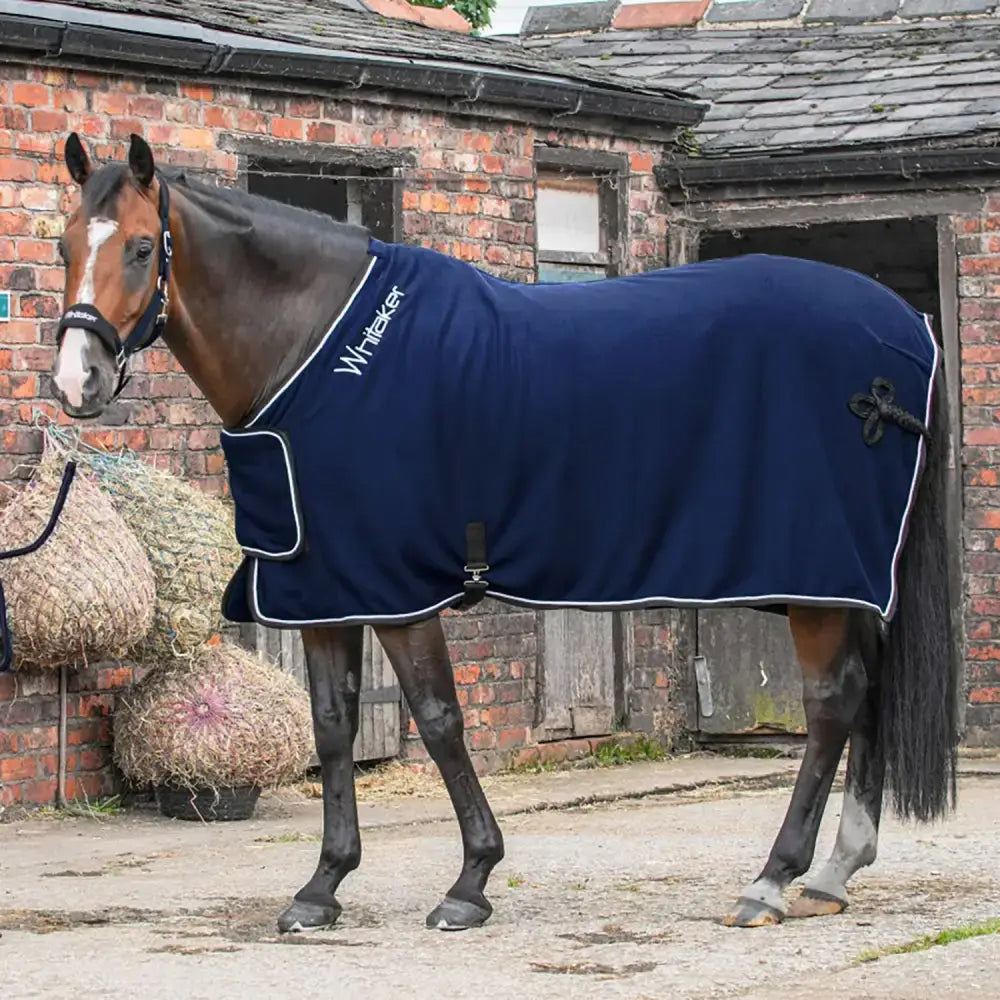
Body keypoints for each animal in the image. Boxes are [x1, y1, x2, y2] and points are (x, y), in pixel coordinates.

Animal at [48, 131, 959, 933]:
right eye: (62, 246)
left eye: (141, 248)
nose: (76, 381)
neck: (315, 352)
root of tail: (905, 330)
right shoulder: (325, 589)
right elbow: (333, 728)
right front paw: (322, 888)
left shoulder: (397, 590)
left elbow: (439, 719)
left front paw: (470, 882)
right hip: (845, 583)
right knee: (867, 693)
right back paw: (834, 874)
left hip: (819, 581)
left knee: (831, 706)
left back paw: (771, 881)